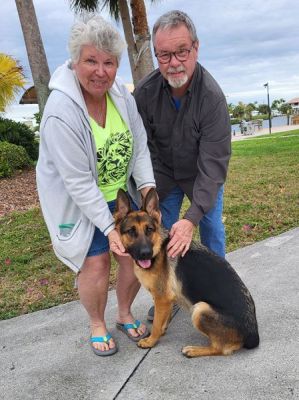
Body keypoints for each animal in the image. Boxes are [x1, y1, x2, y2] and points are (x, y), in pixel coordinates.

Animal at [115, 189, 260, 358]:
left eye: (149, 230)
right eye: (131, 231)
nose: (146, 254)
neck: (158, 248)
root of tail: (253, 335)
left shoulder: (162, 298)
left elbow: (156, 324)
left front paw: (151, 341)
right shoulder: (166, 299)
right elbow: (163, 320)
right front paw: (162, 331)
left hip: (200, 309)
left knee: (220, 349)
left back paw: (193, 350)